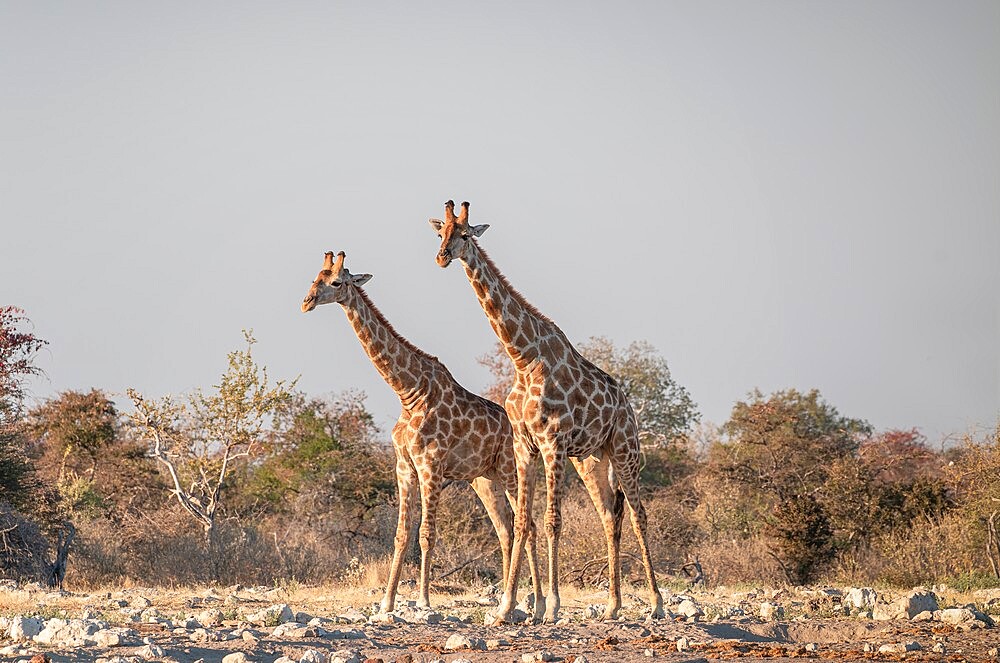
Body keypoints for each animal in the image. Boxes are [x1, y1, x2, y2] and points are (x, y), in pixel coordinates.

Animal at [300, 252, 544, 620]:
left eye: (337, 282)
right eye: (315, 277)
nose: (307, 302)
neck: (409, 391)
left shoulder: (431, 465)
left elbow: (427, 534)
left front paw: (424, 602)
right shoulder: (404, 467)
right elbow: (401, 535)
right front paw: (386, 604)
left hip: (509, 471)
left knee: (527, 526)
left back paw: (535, 604)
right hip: (484, 480)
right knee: (505, 530)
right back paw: (508, 601)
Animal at [428, 200, 664, 624]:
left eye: (466, 234)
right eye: (441, 233)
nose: (441, 257)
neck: (523, 358)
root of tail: (626, 405)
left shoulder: (552, 443)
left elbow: (553, 521)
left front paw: (551, 606)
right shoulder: (525, 446)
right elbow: (523, 521)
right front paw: (506, 607)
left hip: (625, 448)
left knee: (639, 514)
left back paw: (656, 602)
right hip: (590, 459)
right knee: (610, 515)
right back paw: (612, 605)